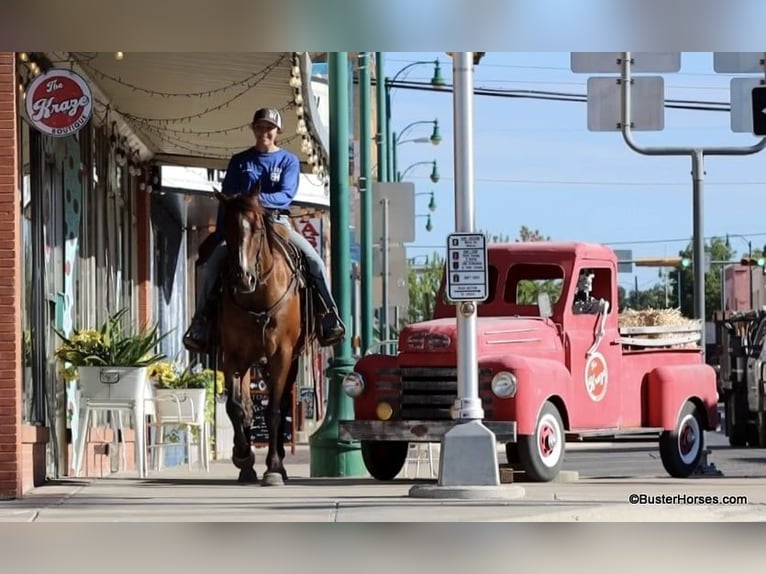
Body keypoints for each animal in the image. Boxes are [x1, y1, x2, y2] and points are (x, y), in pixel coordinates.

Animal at [213, 188, 316, 486]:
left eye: (258, 228)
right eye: (228, 228)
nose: (242, 278)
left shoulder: (281, 354)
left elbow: (273, 411)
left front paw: (273, 468)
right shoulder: (232, 356)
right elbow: (236, 407)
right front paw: (243, 457)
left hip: (289, 362)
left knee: (281, 406)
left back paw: (279, 461)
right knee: (249, 405)